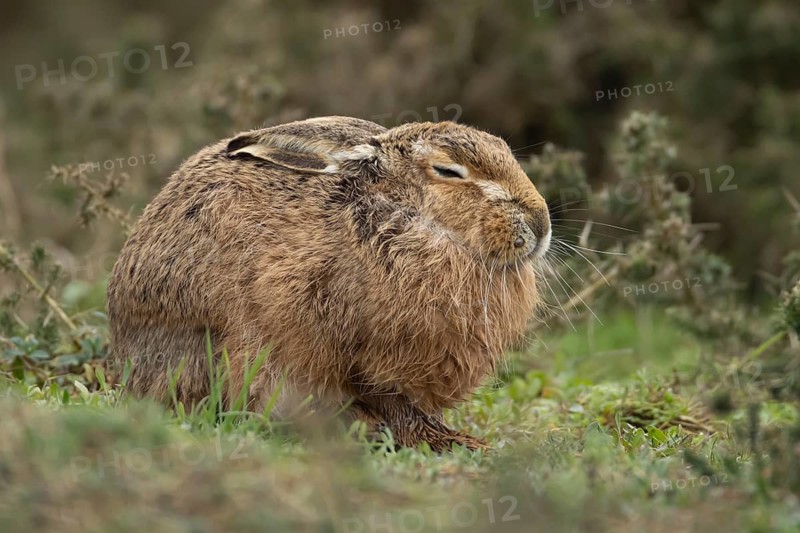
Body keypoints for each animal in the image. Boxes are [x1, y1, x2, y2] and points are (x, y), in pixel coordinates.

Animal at [107, 116, 552, 452]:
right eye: (447, 171)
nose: (541, 223)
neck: (410, 219)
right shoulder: (351, 352)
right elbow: (393, 402)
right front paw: (452, 443)